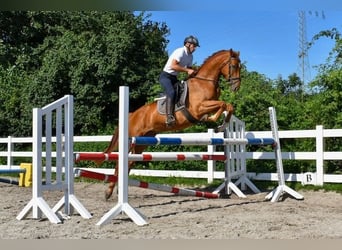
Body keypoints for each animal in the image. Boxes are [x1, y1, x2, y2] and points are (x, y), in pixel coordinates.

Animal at [100, 48, 242, 200]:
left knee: (129, 162)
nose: (236, 87)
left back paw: (118, 190)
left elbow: (228, 106)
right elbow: (223, 104)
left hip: (141, 142)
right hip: (131, 139)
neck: (204, 82)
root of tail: (132, 114)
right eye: (234, 66)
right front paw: (214, 122)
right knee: (119, 162)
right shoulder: (198, 108)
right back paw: (109, 192)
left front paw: (221, 125)